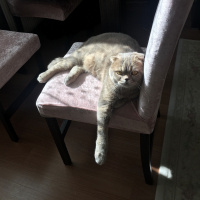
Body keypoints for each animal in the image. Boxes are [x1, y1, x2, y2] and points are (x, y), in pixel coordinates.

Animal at [37, 32, 144, 164]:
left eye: (134, 73)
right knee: (59, 65)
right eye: (119, 72)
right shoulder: (104, 102)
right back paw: (44, 75)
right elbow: (102, 130)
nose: (126, 79)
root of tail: (93, 37)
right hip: (76, 58)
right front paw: (100, 153)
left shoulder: (129, 96)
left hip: (87, 63)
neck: (124, 91)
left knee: (78, 67)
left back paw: (69, 78)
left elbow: (122, 101)